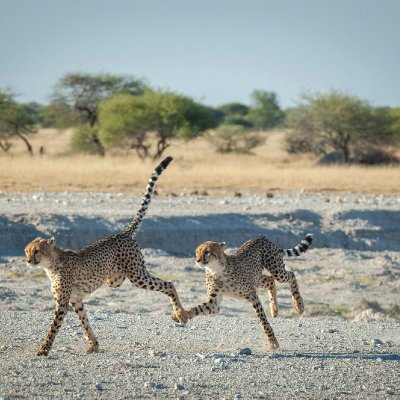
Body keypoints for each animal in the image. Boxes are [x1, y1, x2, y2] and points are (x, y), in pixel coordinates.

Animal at [24, 156, 188, 356]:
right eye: (27, 251)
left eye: (36, 251)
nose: (28, 260)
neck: (51, 263)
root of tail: (123, 233)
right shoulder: (75, 299)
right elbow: (85, 322)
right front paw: (94, 345)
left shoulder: (63, 302)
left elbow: (53, 327)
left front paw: (43, 349)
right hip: (115, 280)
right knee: (121, 280)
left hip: (137, 275)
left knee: (168, 284)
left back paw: (181, 314)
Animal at [171, 233, 312, 348]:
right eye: (197, 252)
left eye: (207, 252)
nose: (197, 260)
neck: (215, 269)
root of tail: (261, 237)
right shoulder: (214, 303)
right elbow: (197, 308)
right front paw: (181, 315)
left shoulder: (252, 295)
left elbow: (264, 321)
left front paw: (273, 342)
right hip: (257, 278)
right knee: (270, 280)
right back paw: (274, 309)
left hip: (277, 270)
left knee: (291, 275)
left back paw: (298, 304)